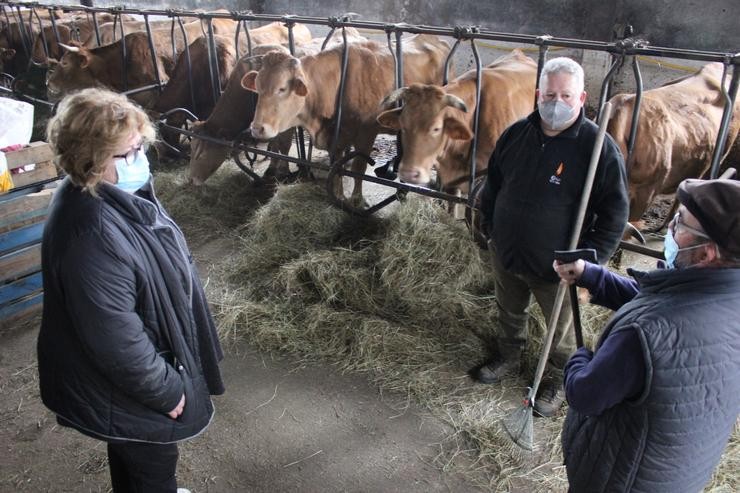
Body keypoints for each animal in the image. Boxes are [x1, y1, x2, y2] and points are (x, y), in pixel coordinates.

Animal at [243, 34, 450, 204]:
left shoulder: (366, 132)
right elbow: (337, 166)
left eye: (282, 88)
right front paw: (339, 195)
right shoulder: (337, 135)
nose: (257, 128)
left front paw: (356, 199)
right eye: (258, 86)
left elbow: (359, 167)